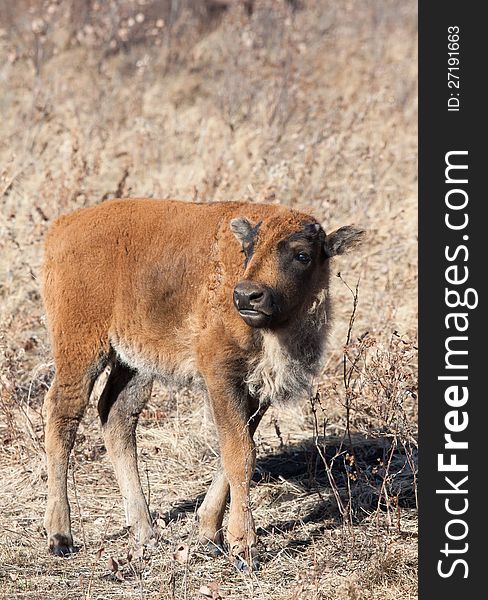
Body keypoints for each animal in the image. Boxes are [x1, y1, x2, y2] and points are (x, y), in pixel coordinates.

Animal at [42, 200, 362, 568]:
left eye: (302, 255)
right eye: (248, 249)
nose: (247, 296)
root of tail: (62, 227)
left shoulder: (256, 390)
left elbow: (234, 450)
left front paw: (210, 535)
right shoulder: (221, 376)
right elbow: (241, 455)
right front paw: (244, 549)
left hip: (133, 363)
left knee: (116, 417)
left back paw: (146, 532)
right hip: (81, 349)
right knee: (62, 418)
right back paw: (60, 537)